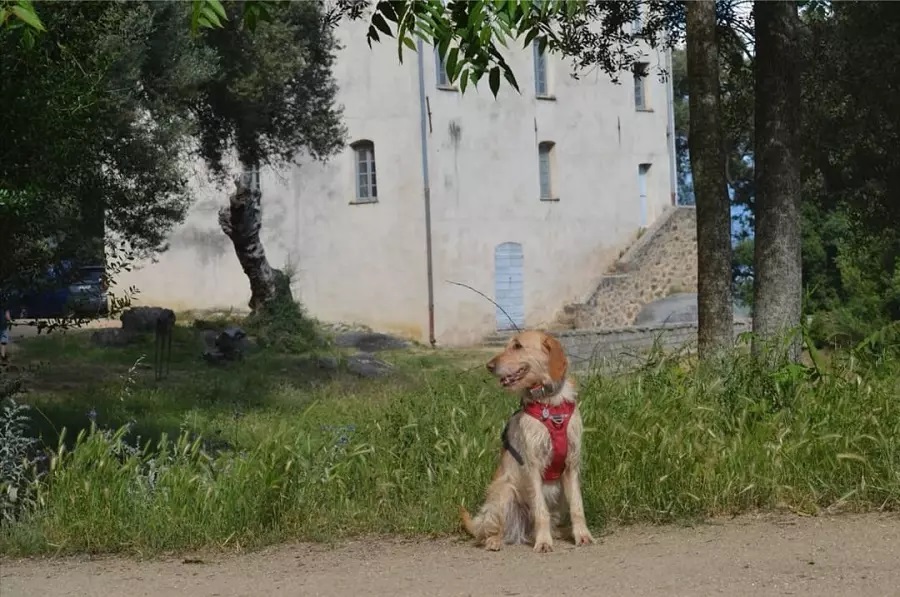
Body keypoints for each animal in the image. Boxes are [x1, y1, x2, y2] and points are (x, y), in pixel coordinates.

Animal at [460, 328, 596, 552]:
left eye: (517, 346)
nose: (489, 366)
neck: (549, 402)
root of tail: (522, 530)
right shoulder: (533, 466)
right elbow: (540, 511)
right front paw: (543, 542)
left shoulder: (571, 465)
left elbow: (577, 506)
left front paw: (582, 535)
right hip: (504, 492)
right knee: (491, 530)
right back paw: (495, 540)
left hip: (558, 497)